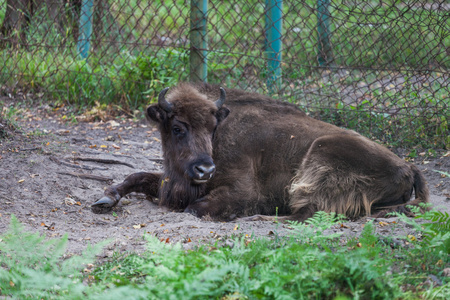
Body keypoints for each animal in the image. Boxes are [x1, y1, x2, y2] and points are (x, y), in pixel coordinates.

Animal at [91, 83, 428, 221]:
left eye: (212, 127)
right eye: (177, 127)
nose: (205, 170)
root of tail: (408, 167)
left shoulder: (240, 192)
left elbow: (194, 209)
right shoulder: (171, 180)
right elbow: (135, 176)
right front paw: (104, 201)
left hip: (318, 158)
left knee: (307, 213)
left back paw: (261, 218)